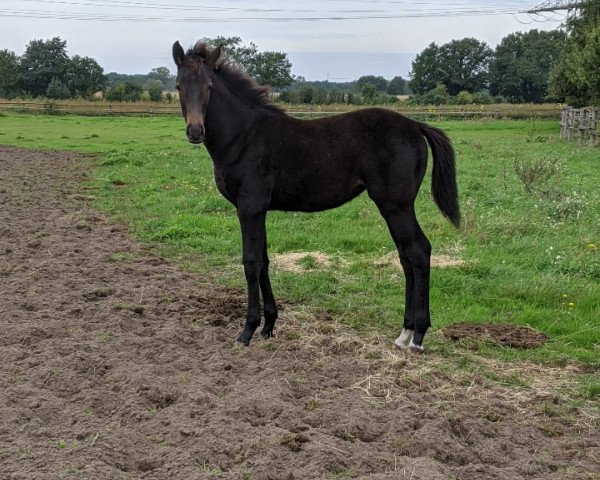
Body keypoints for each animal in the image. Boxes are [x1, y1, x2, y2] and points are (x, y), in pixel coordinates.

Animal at [171, 42, 462, 352]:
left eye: (209, 87)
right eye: (178, 86)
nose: (195, 131)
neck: (243, 137)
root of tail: (416, 125)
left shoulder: (249, 207)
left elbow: (251, 263)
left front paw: (248, 329)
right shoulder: (259, 210)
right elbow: (264, 261)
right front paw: (269, 325)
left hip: (397, 205)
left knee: (419, 251)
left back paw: (418, 336)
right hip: (392, 207)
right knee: (406, 256)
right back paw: (404, 332)